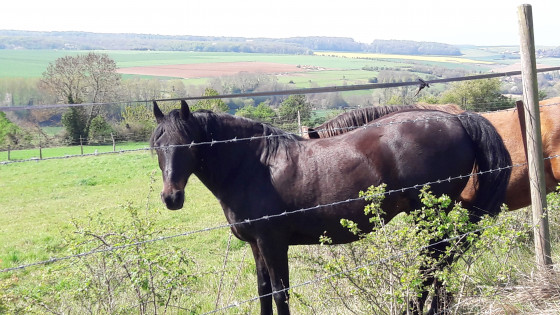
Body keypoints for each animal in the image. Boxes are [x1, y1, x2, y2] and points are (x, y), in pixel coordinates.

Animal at [151, 101, 510, 315]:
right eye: (157, 145)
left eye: (188, 145)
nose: (171, 198)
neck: (255, 165)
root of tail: (455, 119)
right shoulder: (256, 244)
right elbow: (263, 291)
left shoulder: (272, 242)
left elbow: (280, 293)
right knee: (439, 260)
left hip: (428, 213)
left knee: (431, 261)